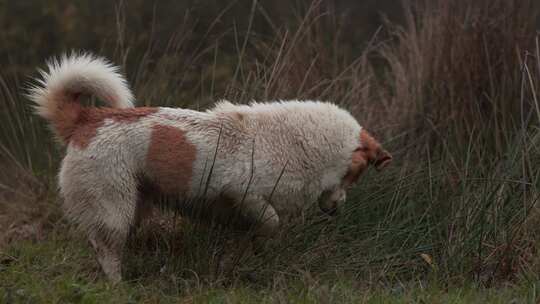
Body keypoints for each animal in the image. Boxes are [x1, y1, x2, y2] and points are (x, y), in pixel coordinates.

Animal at [28, 52, 392, 282]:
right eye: (355, 175)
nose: (337, 209)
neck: (298, 141)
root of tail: (88, 118)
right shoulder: (241, 192)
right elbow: (271, 220)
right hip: (113, 207)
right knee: (106, 250)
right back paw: (118, 285)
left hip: (134, 205)